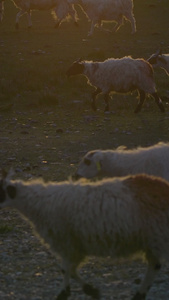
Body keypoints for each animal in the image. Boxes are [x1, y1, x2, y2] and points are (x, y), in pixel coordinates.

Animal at [0, 170, 169, 298]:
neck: (36, 203)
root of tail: (163, 186)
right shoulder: (77, 246)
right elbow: (72, 270)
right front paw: (90, 290)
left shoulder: (66, 242)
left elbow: (66, 269)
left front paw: (64, 292)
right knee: (154, 265)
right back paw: (140, 294)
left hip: (156, 235)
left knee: (154, 266)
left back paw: (140, 293)